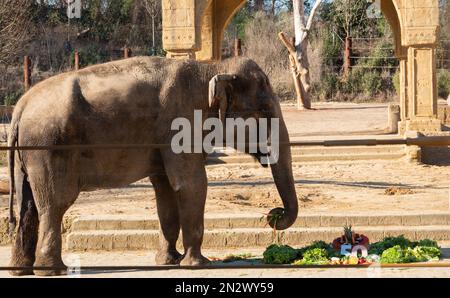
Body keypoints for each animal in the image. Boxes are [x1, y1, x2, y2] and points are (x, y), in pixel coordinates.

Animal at [7, 55, 298, 274]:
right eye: (264, 111)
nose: (272, 215)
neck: (211, 67)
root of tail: (19, 110)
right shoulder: (179, 124)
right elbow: (191, 184)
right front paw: (197, 264)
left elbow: (165, 189)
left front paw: (169, 261)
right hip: (48, 148)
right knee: (55, 204)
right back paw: (53, 270)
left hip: (29, 155)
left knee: (28, 205)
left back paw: (20, 270)